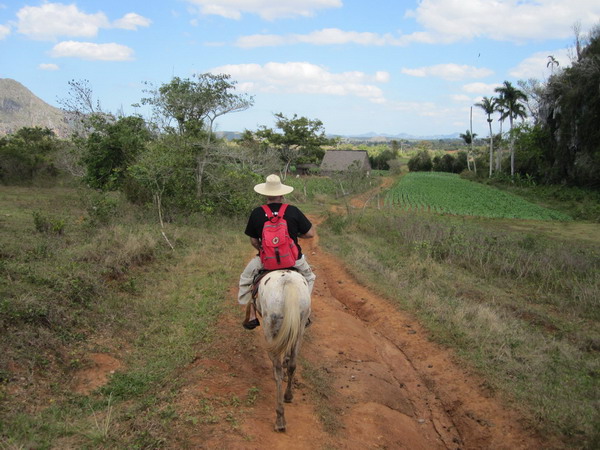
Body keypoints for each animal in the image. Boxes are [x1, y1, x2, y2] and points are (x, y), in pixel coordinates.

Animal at [254, 268, 312, 430]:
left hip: (269, 328)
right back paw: (288, 396)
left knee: (277, 371)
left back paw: (280, 418)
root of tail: (288, 282)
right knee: (293, 365)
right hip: (300, 326)